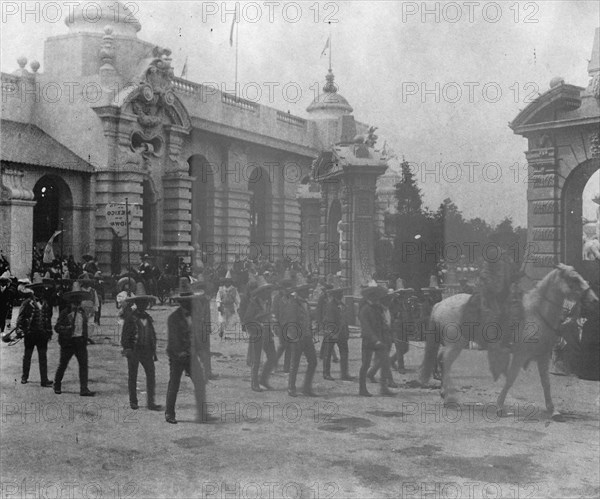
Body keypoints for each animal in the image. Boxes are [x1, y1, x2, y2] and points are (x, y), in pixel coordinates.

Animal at [420, 264, 596, 420]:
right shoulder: (520, 354)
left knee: (441, 359)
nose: (594, 299)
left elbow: (546, 383)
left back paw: (444, 392)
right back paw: (449, 398)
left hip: (454, 344)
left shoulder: (543, 356)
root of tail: (440, 303)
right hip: (456, 344)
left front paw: (553, 411)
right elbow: (511, 378)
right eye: (573, 278)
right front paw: (499, 407)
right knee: (445, 361)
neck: (537, 312)